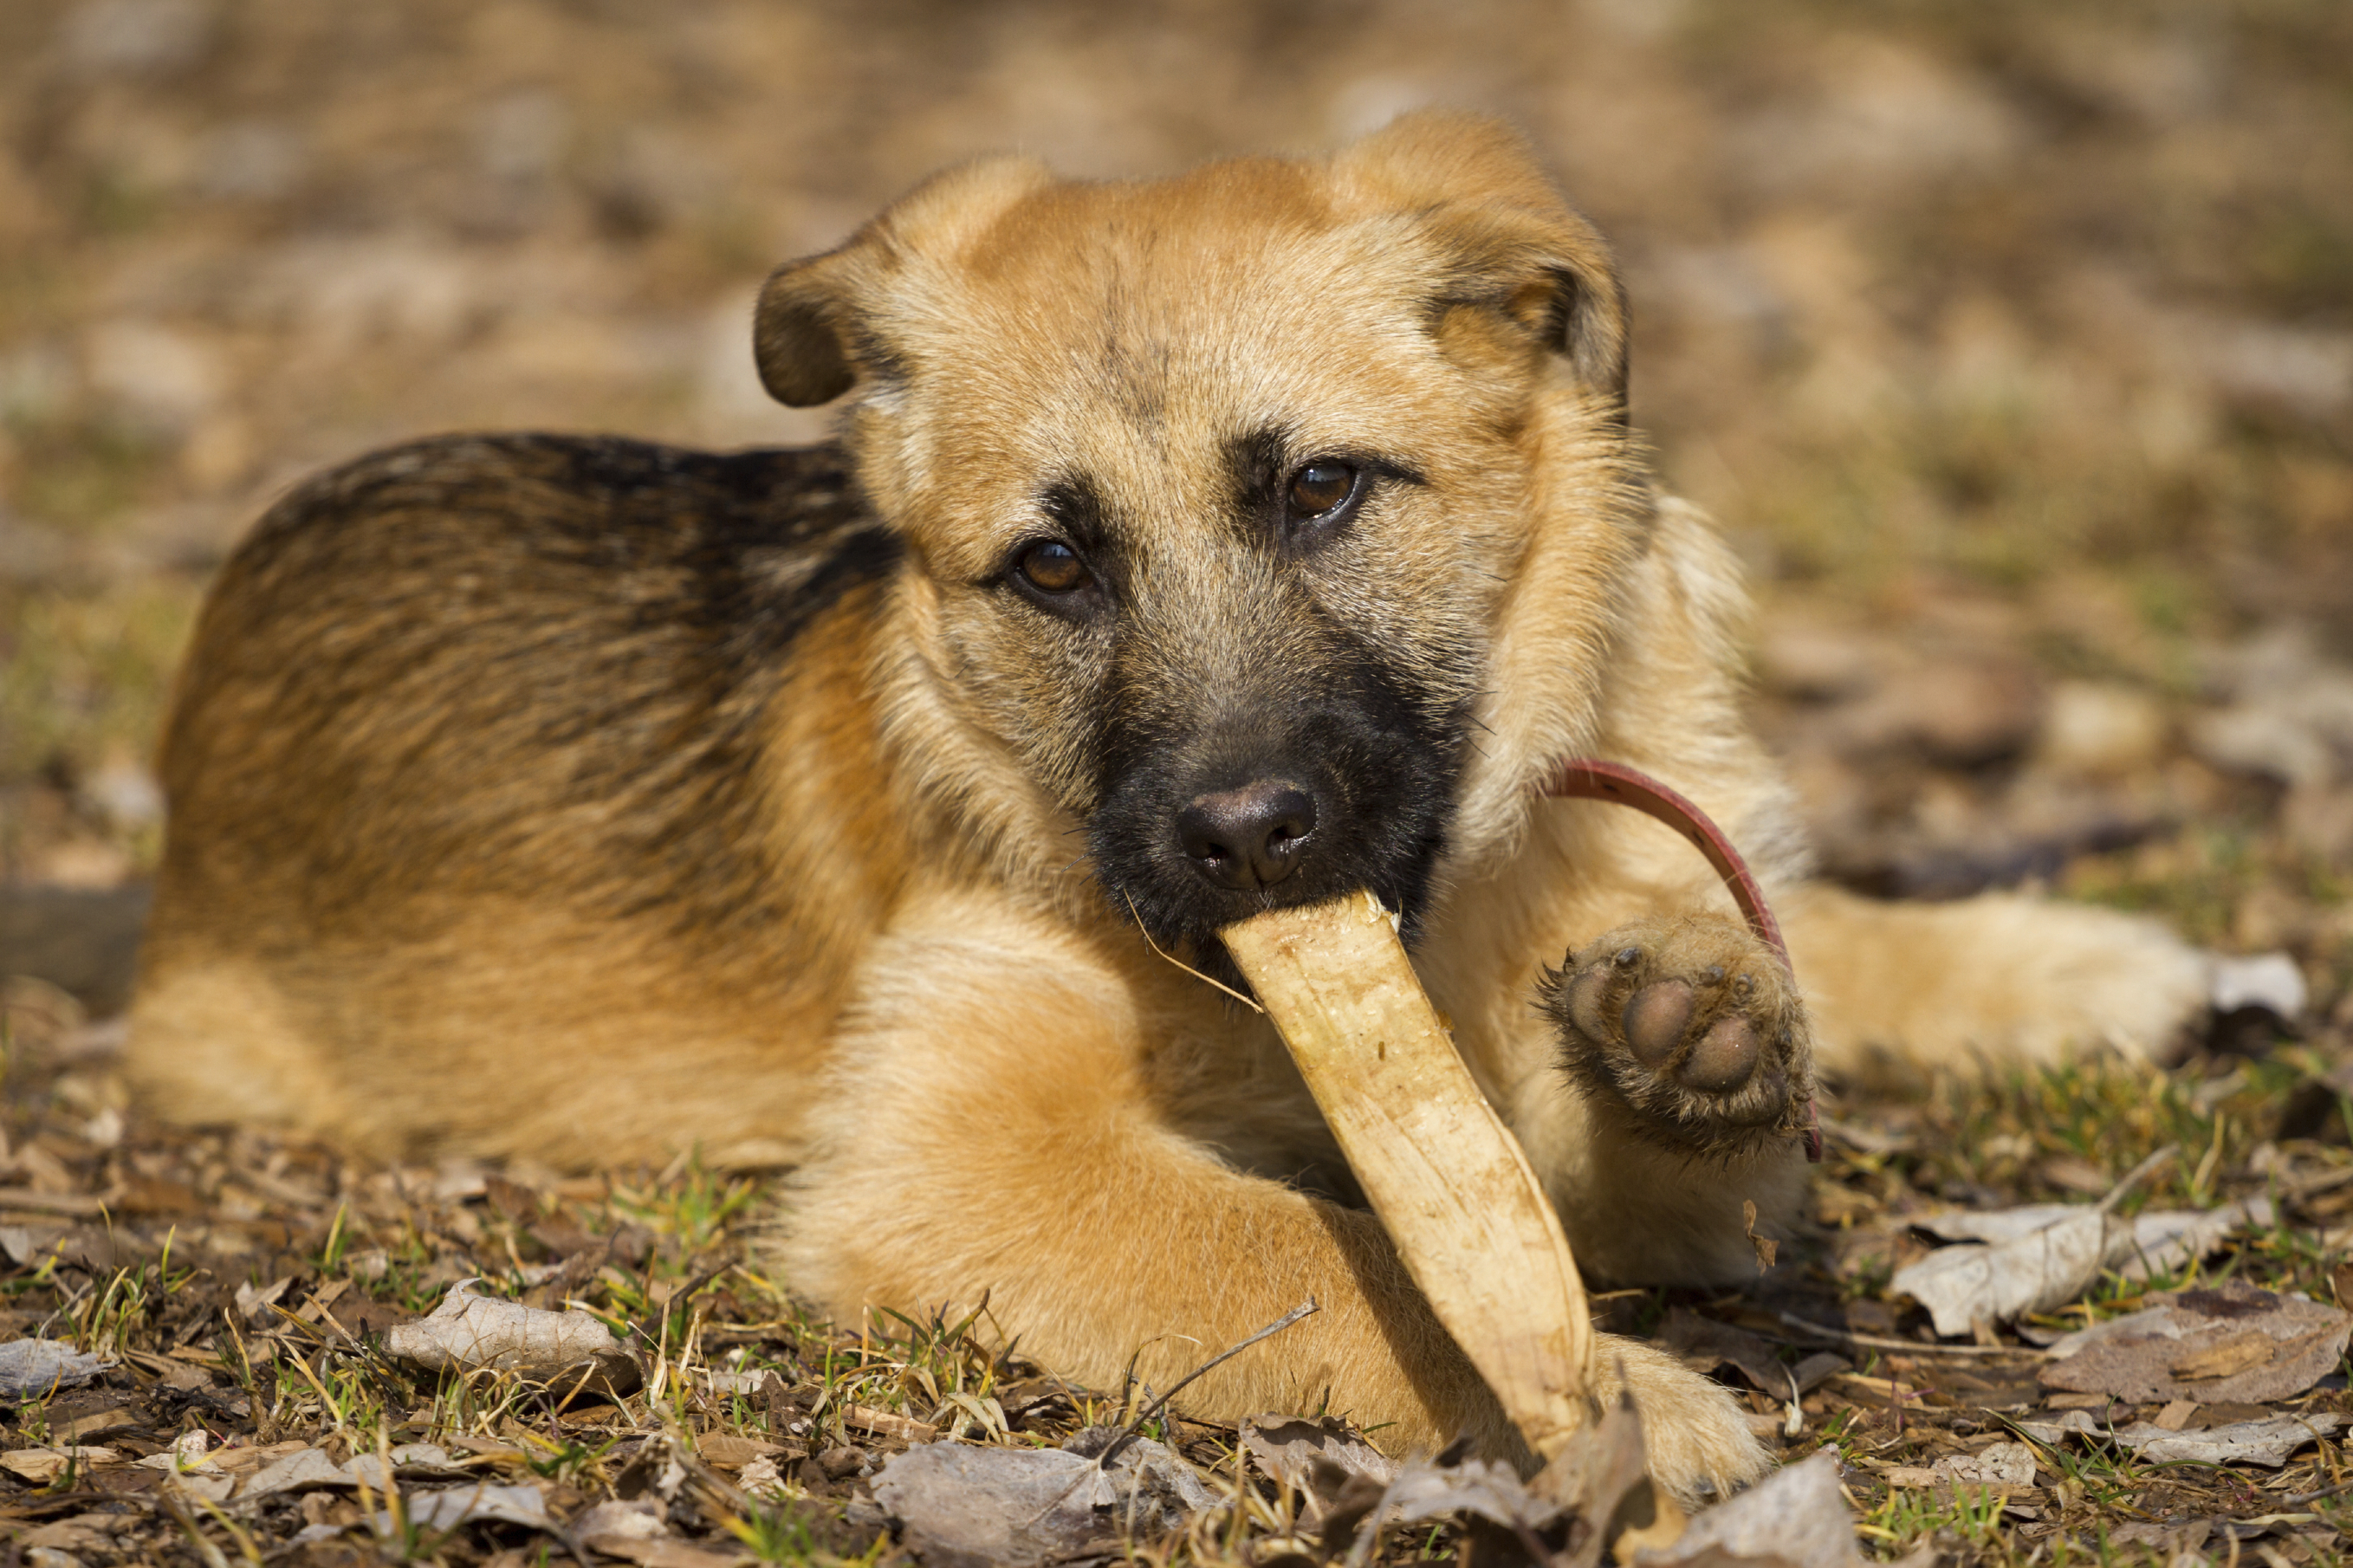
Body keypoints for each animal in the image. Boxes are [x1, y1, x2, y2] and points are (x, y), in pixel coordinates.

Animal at [124, 115, 2220, 1497]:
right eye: (1051, 569)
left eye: (1320, 490)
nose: (1241, 835)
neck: (1440, 911)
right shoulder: (956, 1147)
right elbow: (1300, 1253)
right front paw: (1611, 1395)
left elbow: (1707, 1101)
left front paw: (1691, 1028)